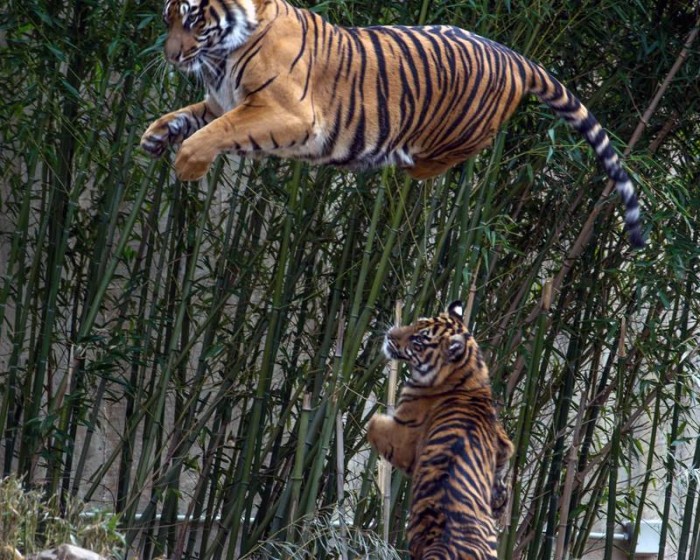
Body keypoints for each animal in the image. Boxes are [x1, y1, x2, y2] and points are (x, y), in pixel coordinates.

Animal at [141, 0, 644, 247]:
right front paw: (155, 136)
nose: (170, 56)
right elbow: (190, 116)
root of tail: (516, 55)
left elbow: (217, 132)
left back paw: (402, 161)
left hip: (457, 133)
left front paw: (187, 165)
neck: (219, 56)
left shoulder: (290, 115)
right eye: (166, 19)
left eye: (191, 20)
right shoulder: (221, 100)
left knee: (443, 160)